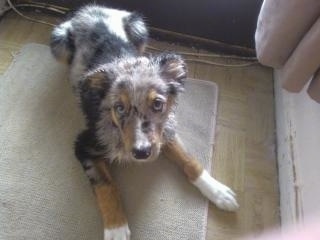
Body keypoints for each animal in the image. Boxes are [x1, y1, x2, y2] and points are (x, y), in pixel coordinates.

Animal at [50, 4, 239, 240]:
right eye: (119, 108)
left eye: (158, 104)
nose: (141, 153)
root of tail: (91, 7)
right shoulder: (85, 144)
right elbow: (106, 184)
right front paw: (116, 228)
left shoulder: (165, 130)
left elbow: (188, 159)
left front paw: (218, 191)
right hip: (60, 42)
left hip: (139, 29)